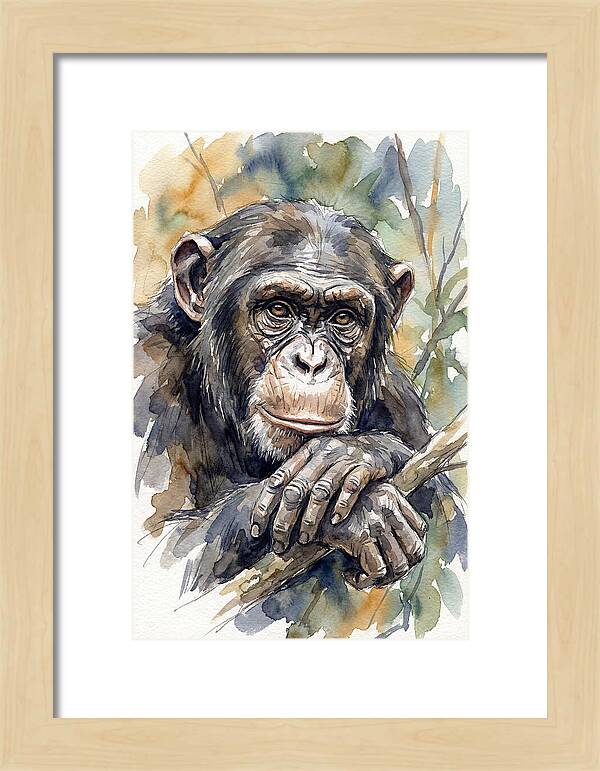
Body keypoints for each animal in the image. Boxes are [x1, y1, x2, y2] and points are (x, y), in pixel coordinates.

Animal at [134, 199, 464, 621]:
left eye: (343, 317)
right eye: (279, 309)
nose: (311, 362)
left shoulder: (396, 394)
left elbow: (453, 522)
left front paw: (352, 455)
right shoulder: (147, 373)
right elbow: (162, 550)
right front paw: (366, 511)